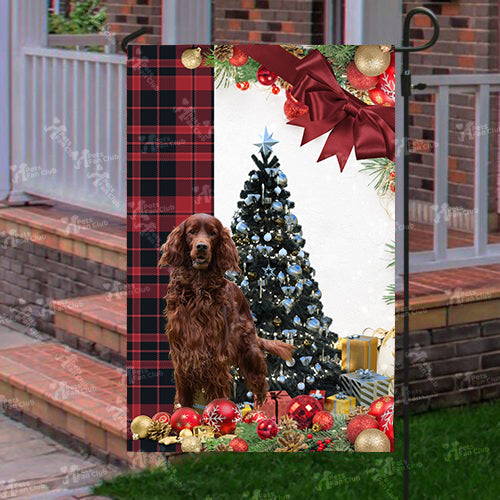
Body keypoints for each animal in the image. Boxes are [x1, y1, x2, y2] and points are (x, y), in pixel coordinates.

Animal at [158, 213, 294, 408]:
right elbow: (184, 399)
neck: (198, 289)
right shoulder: (182, 358)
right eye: (191, 231)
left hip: (250, 354)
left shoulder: (216, 359)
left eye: (213, 233)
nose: (201, 246)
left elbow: (218, 395)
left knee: (261, 387)